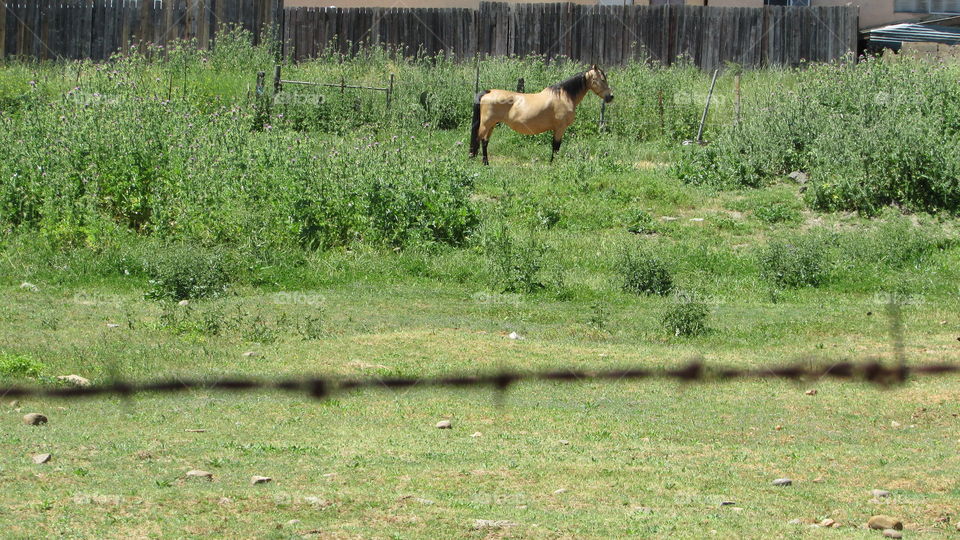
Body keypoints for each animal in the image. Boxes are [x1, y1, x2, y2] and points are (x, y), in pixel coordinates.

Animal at [469, 65, 614, 165]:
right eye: (602, 79)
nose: (610, 97)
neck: (563, 96)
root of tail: (488, 92)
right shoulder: (560, 128)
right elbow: (556, 147)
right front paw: (553, 164)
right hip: (486, 124)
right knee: (478, 139)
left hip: (491, 125)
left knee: (485, 142)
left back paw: (486, 163)